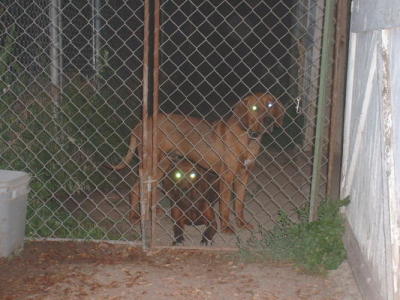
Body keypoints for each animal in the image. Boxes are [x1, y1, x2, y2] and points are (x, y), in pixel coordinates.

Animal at [109, 92, 284, 233]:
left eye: (270, 105)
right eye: (254, 108)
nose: (268, 120)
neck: (248, 137)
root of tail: (140, 124)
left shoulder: (244, 175)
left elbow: (239, 204)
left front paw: (241, 224)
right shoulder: (227, 177)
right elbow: (225, 207)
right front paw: (226, 228)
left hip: (162, 164)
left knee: (147, 187)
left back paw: (153, 210)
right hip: (152, 163)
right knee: (136, 189)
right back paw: (134, 217)